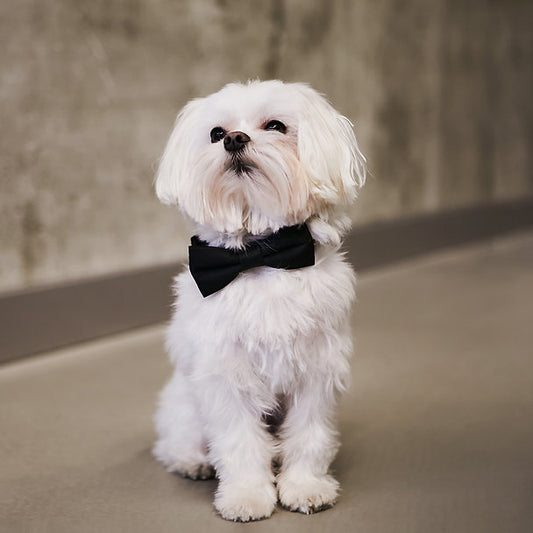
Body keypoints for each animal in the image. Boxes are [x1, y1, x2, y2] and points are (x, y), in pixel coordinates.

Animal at [152, 79, 364, 520]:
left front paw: (305, 486)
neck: (261, 255)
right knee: (175, 442)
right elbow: (240, 443)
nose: (234, 138)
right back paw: (192, 461)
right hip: (185, 407)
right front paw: (246, 495)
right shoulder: (226, 375)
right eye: (216, 132)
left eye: (276, 126)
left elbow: (309, 435)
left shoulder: (316, 370)